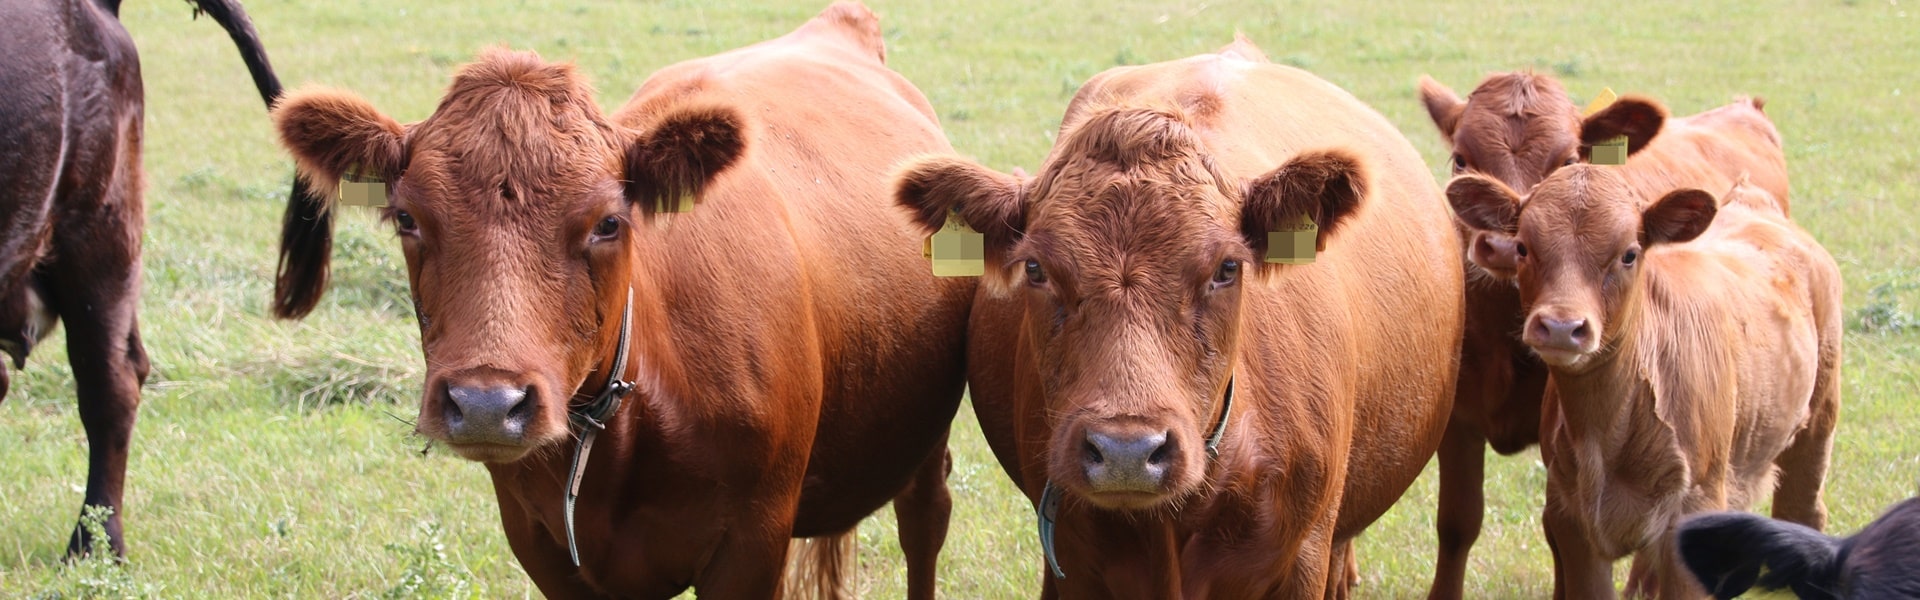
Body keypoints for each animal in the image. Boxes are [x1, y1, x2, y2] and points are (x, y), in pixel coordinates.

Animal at [266, 3, 975, 596]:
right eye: (408, 218)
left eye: (609, 221)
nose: (487, 405)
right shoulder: (542, 545)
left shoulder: (755, 540)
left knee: (924, 525)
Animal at [1420, 69, 1789, 596]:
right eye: (1460, 158)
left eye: (1569, 160)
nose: (1502, 246)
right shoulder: (1458, 420)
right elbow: (1457, 522)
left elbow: (1557, 536)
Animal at [1451, 169, 1843, 600]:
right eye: (1522, 247)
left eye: (1629, 253)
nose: (1560, 326)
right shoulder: (1570, 517)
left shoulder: (1695, 507)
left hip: (1818, 420)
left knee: (1803, 511)